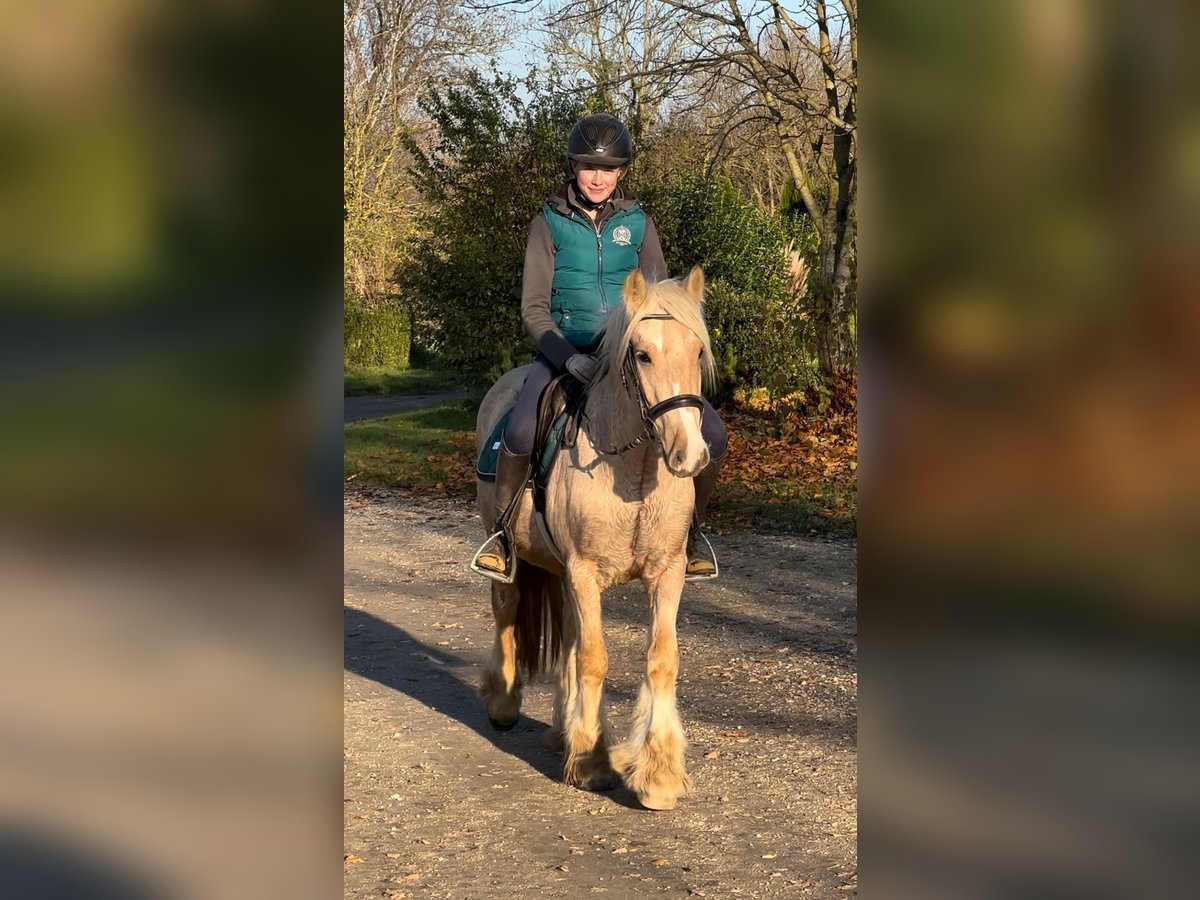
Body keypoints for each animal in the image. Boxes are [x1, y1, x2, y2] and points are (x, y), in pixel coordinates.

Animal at [472, 266, 710, 811]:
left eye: (697, 352)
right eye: (642, 354)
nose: (689, 454)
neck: (634, 472)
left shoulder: (666, 574)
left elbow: (660, 660)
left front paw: (659, 774)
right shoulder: (585, 572)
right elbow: (595, 660)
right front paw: (592, 762)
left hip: (563, 572)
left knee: (568, 639)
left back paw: (563, 730)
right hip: (510, 549)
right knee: (507, 608)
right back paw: (503, 702)